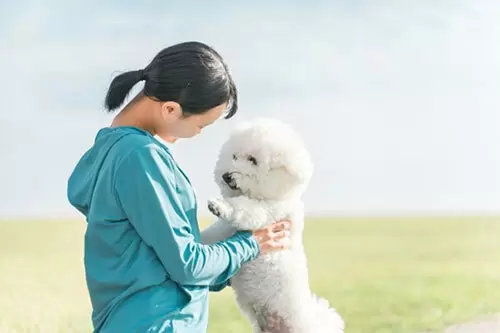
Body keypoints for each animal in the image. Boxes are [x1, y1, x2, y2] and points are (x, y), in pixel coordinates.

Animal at [201, 118, 346, 330]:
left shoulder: (267, 212)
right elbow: (211, 236)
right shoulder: (225, 230)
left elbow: (243, 208)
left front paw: (219, 206)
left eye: (252, 160)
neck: (270, 195)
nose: (226, 176)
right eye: (234, 156)